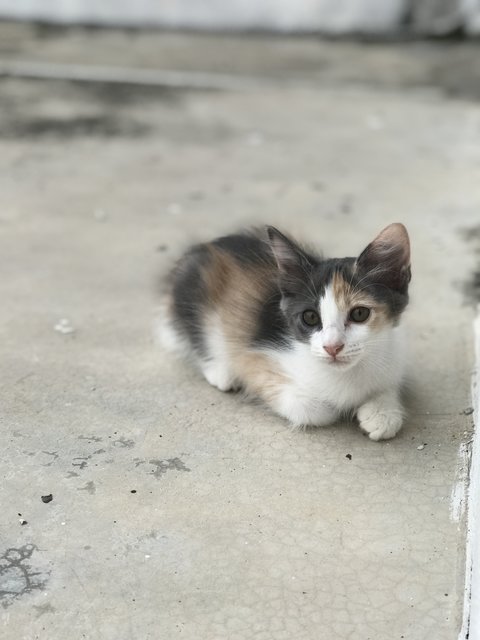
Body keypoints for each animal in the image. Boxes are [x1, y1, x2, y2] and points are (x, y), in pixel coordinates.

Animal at [159, 224, 410, 440]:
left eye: (359, 314)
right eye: (310, 317)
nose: (332, 347)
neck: (347, 374)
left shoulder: (394, 354)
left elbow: (388, 385)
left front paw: (382, 414)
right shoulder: (254, 360)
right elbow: (313, 408)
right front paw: (338, 408)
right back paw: (220, 371)